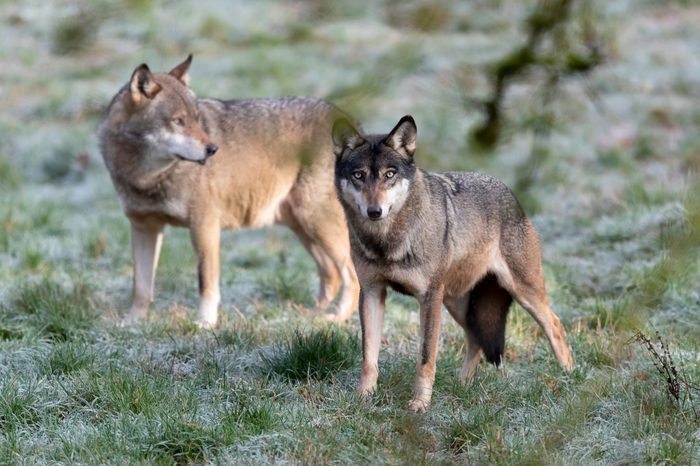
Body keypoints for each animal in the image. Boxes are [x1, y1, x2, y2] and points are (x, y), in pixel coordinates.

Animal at [98, 55, 360, 328]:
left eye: (197, 119)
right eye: (178, 121)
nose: (213, 149)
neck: (147, 177)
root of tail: (345, 118)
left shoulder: (204, 226)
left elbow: (206, 282)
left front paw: (205, 323)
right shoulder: (143, 227)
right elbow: (140, 285)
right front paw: (132, 323)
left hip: (317, 223)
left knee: (352, 276)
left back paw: (337, 317)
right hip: (302, 227)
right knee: (331, 274)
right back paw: (310, 317)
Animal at [330, 115, 572, 412]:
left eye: (390, 174)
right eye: (358, 175)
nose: (374, 211)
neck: (387, 242)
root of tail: (511, 194)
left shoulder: (429, 298)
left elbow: (425, 358)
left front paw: (420, 404)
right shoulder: (372, 292)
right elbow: (369, 356)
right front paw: (363, 397)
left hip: (521, 291)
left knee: (555, 324)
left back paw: (569, 377)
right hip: (457, 302)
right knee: (477, 340)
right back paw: (462, 385)